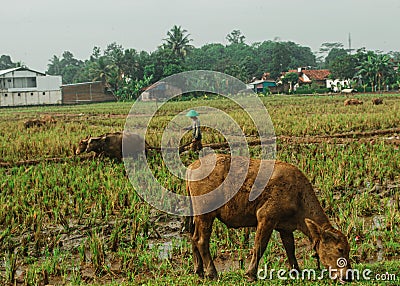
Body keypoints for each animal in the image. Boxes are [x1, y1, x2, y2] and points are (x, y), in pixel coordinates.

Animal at [186, 154, 352, 282]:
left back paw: (199, 271)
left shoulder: (285, 228)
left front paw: (296, 271)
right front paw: (250, 274)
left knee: (193, 237)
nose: (349, 276)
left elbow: (290, 249)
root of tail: (191, 167)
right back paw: (212, 273)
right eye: (340, 249)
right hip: (206, 215)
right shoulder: (266, 218)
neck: (298, 196)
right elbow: (259, 247)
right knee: (201, 240)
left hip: (196, 215)